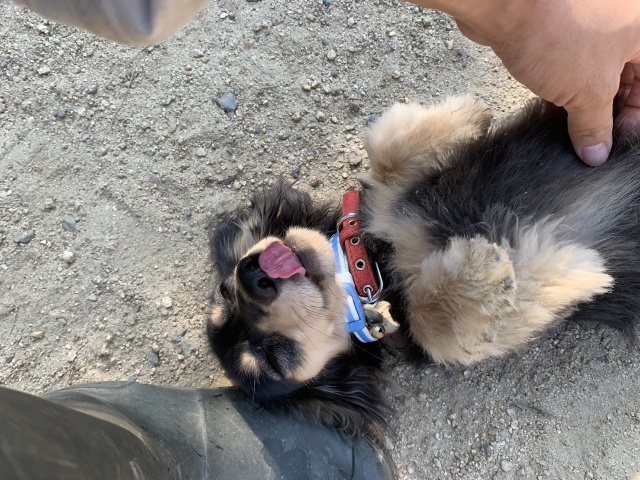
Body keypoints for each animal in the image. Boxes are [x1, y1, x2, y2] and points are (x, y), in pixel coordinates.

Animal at [207, 97, 640, 438]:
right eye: (272, 358)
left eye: (226, 293)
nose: (249, 274)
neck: (373, 268)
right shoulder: (430, 334)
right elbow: (437, 325)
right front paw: (483, 271)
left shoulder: (383, 205)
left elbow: (383, 150)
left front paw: (466, 113)